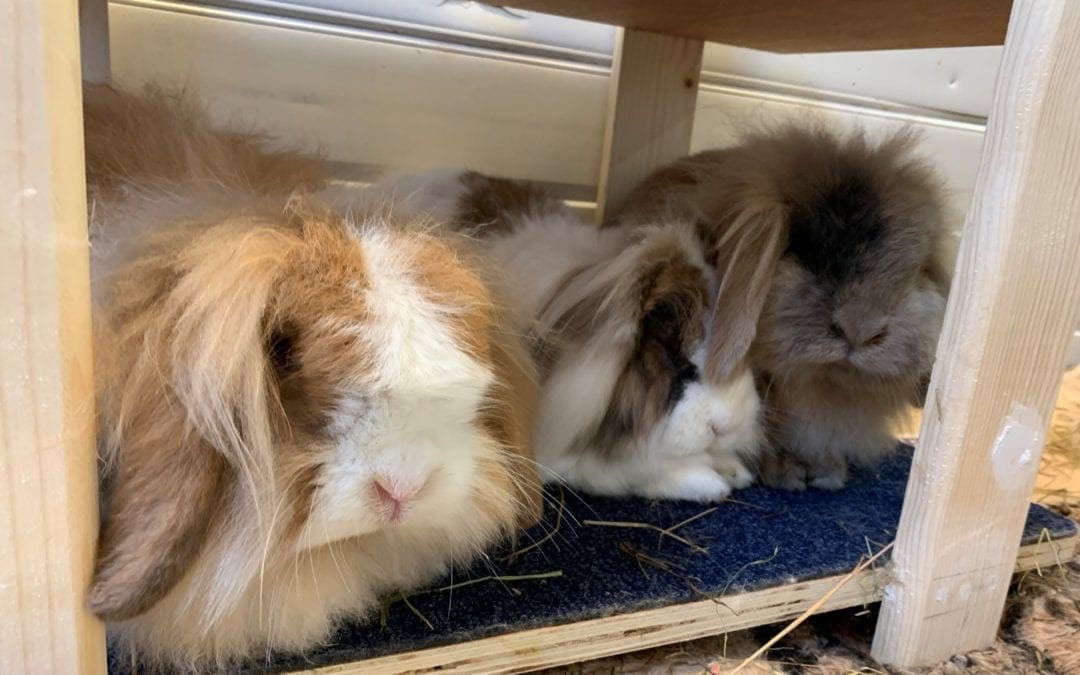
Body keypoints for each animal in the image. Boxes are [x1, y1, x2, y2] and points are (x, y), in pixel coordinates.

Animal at [609, 125, 951, 490]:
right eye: (804, 252)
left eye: (915, 271)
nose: (860, 330)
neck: (817, 385)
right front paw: (786, 473)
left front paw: (828, 471)